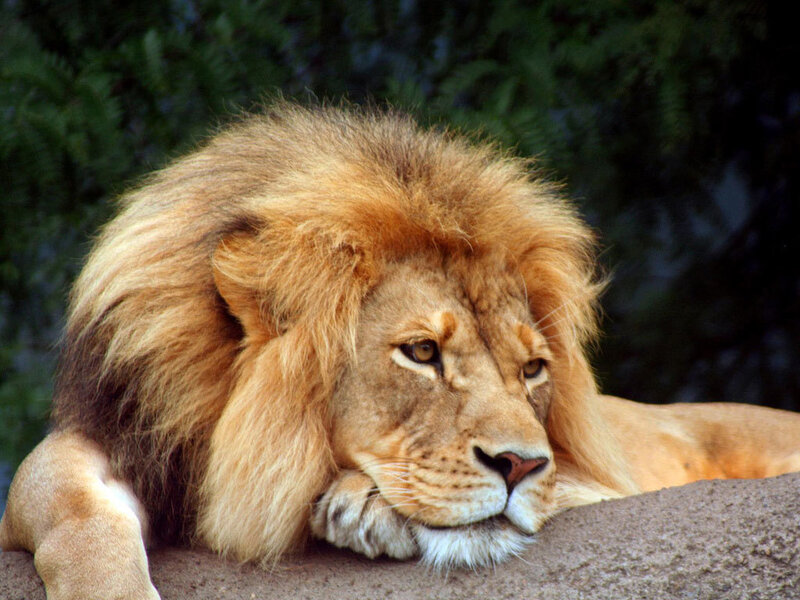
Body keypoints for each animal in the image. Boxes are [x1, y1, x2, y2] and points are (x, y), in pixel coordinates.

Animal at [1, 102, 798, 600]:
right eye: (421, 352)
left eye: (533, 369)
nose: (520, 465)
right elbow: (63, 502)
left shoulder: (600, 480)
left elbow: (574, 487)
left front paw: (358, 505)